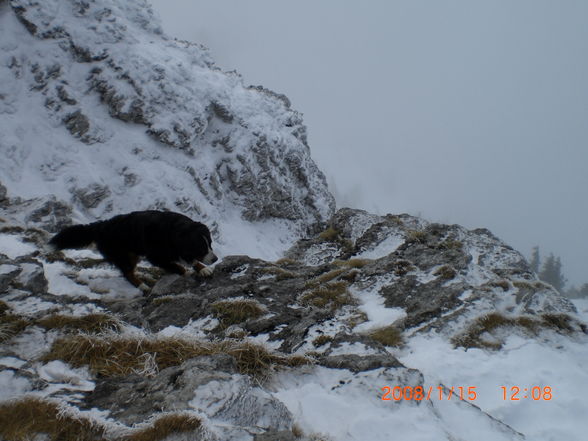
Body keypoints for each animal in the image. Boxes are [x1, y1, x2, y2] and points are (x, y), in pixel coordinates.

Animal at [48, 211, 217, 290]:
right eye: (200, 247)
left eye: (210, 243)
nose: (215, 259)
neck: (173, 233)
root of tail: (102, 226)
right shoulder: (156, 256)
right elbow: (177, 266)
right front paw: (186, 272)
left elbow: (192, 261)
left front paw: (203, 269)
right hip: (124, 255)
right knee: (128, 273)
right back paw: (142, 286)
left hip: (132, 253)